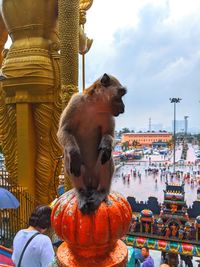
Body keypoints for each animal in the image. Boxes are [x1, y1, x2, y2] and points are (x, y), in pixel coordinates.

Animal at [57, 74, 126, 216]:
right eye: (120, 94)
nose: (123, 107)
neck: (94, 106)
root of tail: (90, 184)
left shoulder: (108, 114)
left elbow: (109, 134)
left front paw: (106, 145)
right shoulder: (75, 102)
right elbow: (64, 131)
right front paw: (74, 153)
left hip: (96, 175)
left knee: (105, 157)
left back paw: (101, 192)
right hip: (84, 176)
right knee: (69, 157)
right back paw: (82, 192)